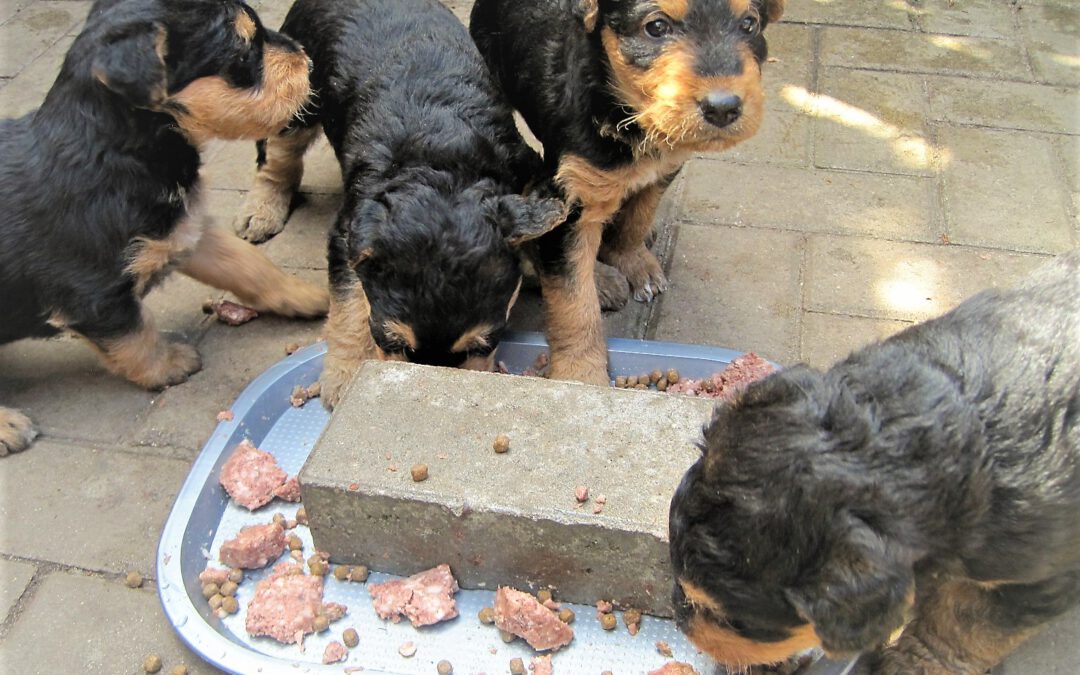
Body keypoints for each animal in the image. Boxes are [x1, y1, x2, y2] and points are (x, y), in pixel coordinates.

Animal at [1, 0, 328, 457]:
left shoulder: (182, 230)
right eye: (243, 53)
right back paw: (8, 425)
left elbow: (249, 265)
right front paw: (171, 364)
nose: (310, 63)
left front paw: (307, 296)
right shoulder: (92, 292)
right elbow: (134, 336)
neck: (122, 150)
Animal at [234, 0, 565, 408]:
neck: (441, 164)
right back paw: (261, 211)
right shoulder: (349, 230)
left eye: (483, 345)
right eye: (392, 343)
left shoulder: (526, 166)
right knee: (278, 152)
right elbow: (349, 304)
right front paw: (345, 376)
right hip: (300, 94)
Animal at [473, 0, 786, 384]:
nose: (723, 107)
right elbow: (573, 299)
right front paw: (581, 373)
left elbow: (638, 215)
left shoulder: (666, 165)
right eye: (656, 27)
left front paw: (633, 260)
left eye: (749, 24)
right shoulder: (570, 199)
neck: (627, 111)